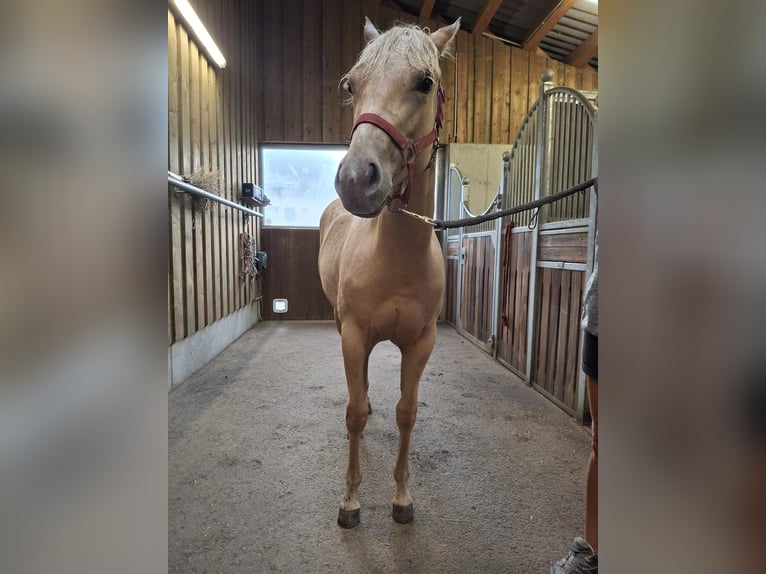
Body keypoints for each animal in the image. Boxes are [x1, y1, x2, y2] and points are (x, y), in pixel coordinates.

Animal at [318, 17, 460, 528]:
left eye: (425, 82)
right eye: (351, 84)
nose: (357, 180)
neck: (397, 259)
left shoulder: (420, 343)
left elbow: (406, 413)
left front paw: (401, 498)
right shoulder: (355, 334)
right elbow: (355, 413)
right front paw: (351, 501)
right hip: (341, 325)